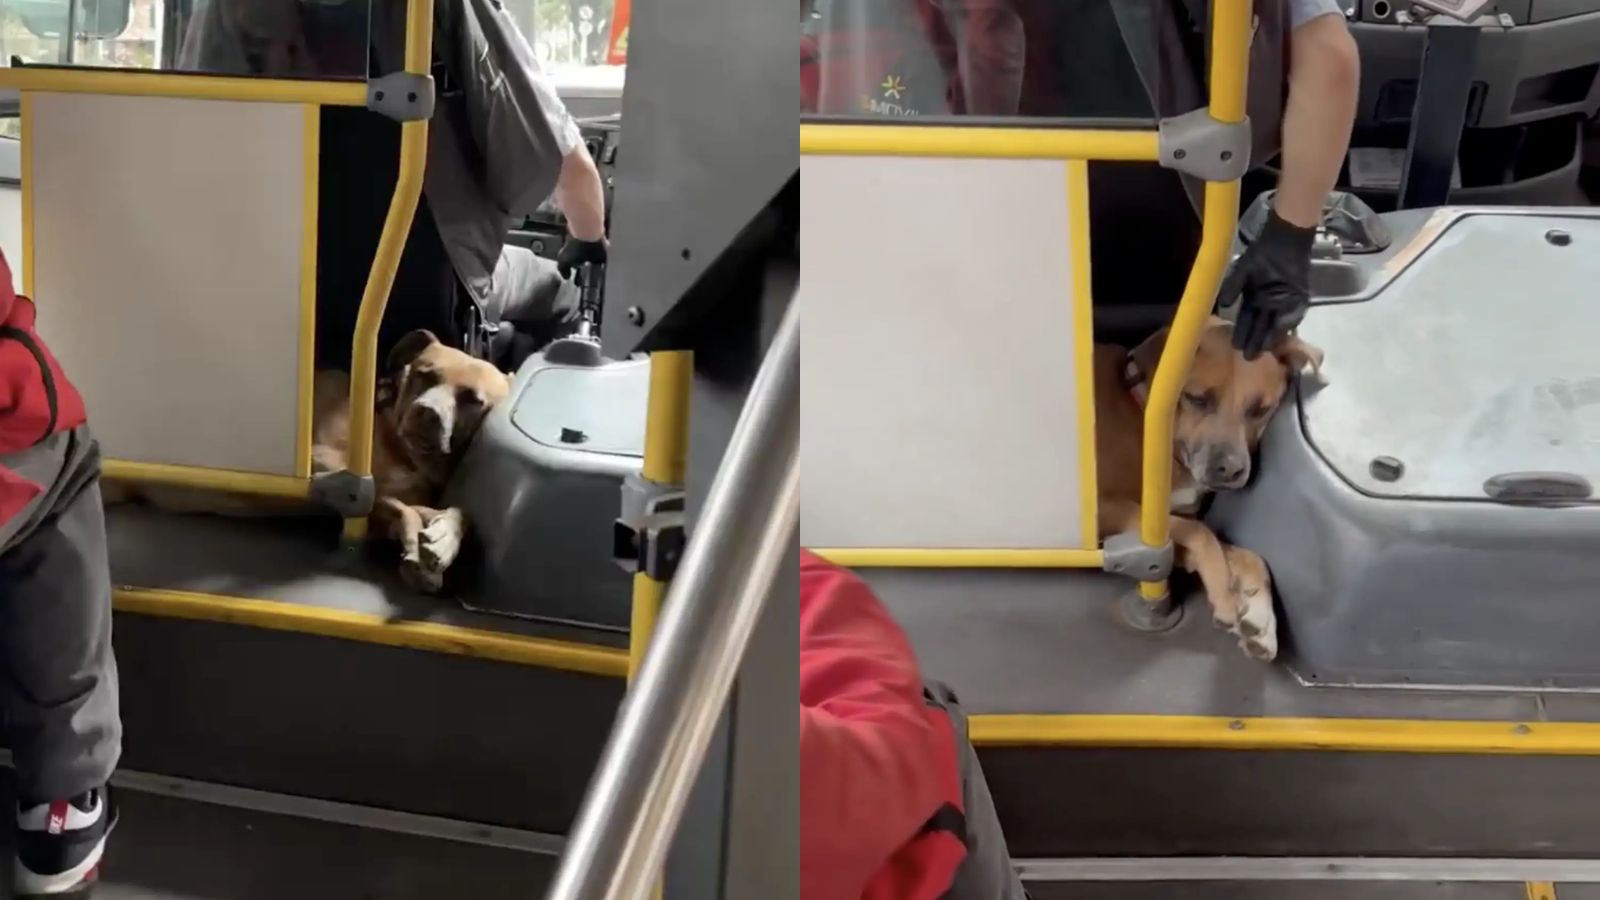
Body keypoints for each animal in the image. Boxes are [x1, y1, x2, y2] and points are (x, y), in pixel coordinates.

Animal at [1088, 317, 1324, 659]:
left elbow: (1247, 556)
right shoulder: (1104, 509)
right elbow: (1202, 534)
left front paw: (1260, 616)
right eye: (1197, 399)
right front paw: (1226, 597)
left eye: (1259, 409)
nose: (1231, 469)